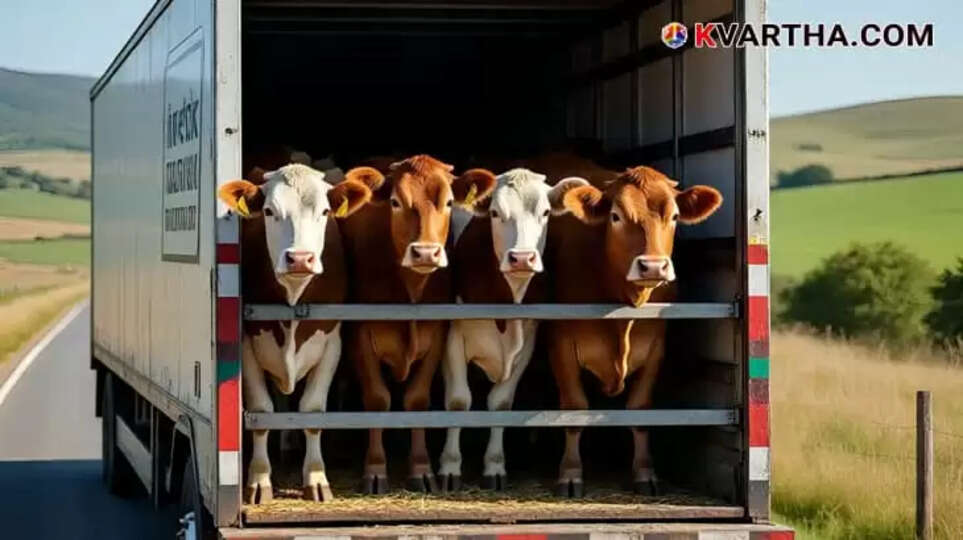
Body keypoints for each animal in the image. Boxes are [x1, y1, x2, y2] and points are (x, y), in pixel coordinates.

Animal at [218, 164, 372, 503]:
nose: (300, 258)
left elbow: (312, 412)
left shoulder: (331, 344)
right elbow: (261, 412)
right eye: (268, 211)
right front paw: (259, 479)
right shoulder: (248, 345)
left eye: (325, 211)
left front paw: (316, 477)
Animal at [338, 155, 497, 494]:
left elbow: (418, 399)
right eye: (395, 202)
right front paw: (375, 470)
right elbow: (377, 399)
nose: (425, 252)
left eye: (449, 202)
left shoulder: (436, 335)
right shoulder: (360, 337)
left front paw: (421, 470)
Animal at [437, 169, 588, 491]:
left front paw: (495, 466)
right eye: (495, 213)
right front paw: (450, 467)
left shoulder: (527, 341)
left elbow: (501, 402)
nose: (521, 258)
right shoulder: (452, 338)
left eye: (545, 212)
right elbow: (458, 401)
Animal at [547, 165, 722, 497]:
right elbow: (574, 409)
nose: (653, 267)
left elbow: (640, 410)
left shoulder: (656, 349)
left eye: (675, 216)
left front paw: (645, 472)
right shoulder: (561, 346)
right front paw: (570, 474)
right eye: (615, 216)